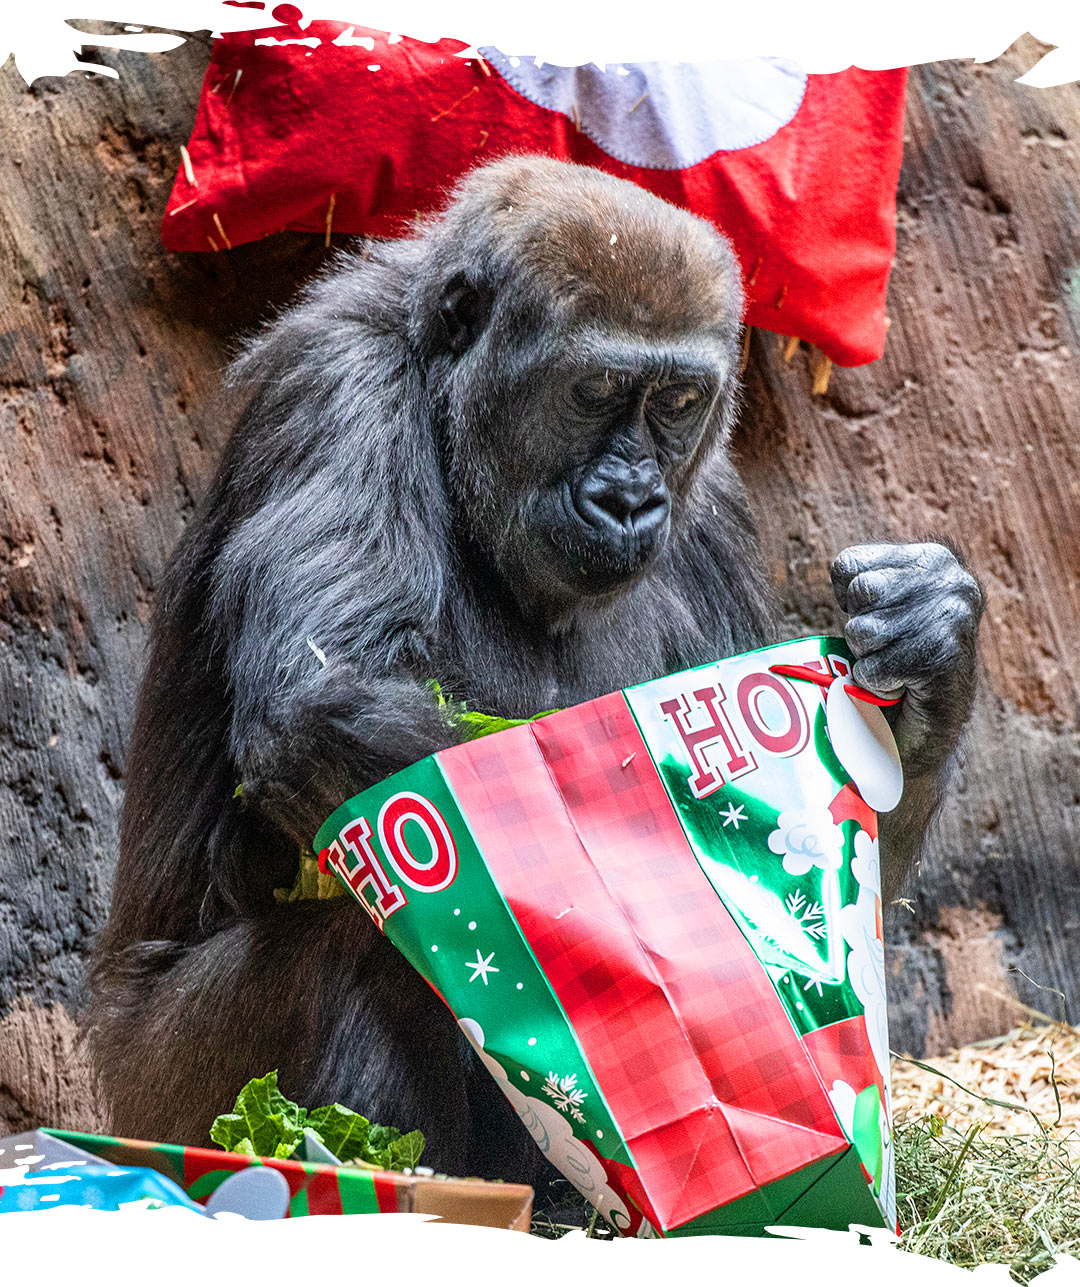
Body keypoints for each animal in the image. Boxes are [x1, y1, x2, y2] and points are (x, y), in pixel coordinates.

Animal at [91, 156, 983, 1183]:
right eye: (594, 389)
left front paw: (928, 647)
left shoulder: (713, 505)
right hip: (149, 1092)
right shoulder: (338, 384)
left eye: (677, 405)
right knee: (361, 925)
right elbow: (326, 698)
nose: (630, 498)